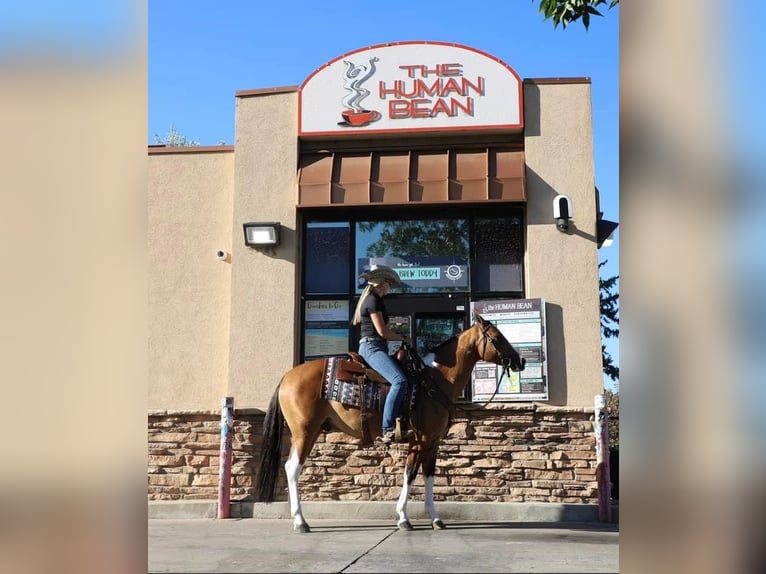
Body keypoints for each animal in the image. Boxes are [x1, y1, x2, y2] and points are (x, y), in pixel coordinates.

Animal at [258, 312, 528, 532]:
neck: (434, 379)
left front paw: (436, 519)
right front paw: (403, 518)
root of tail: (287, 376)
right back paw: (300, 522)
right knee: (292, 468)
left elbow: (429, 476)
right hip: (304, 432)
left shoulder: (432, 443)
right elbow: (410, 475)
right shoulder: (419, 441)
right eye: (497, 337)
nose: (520, 361)